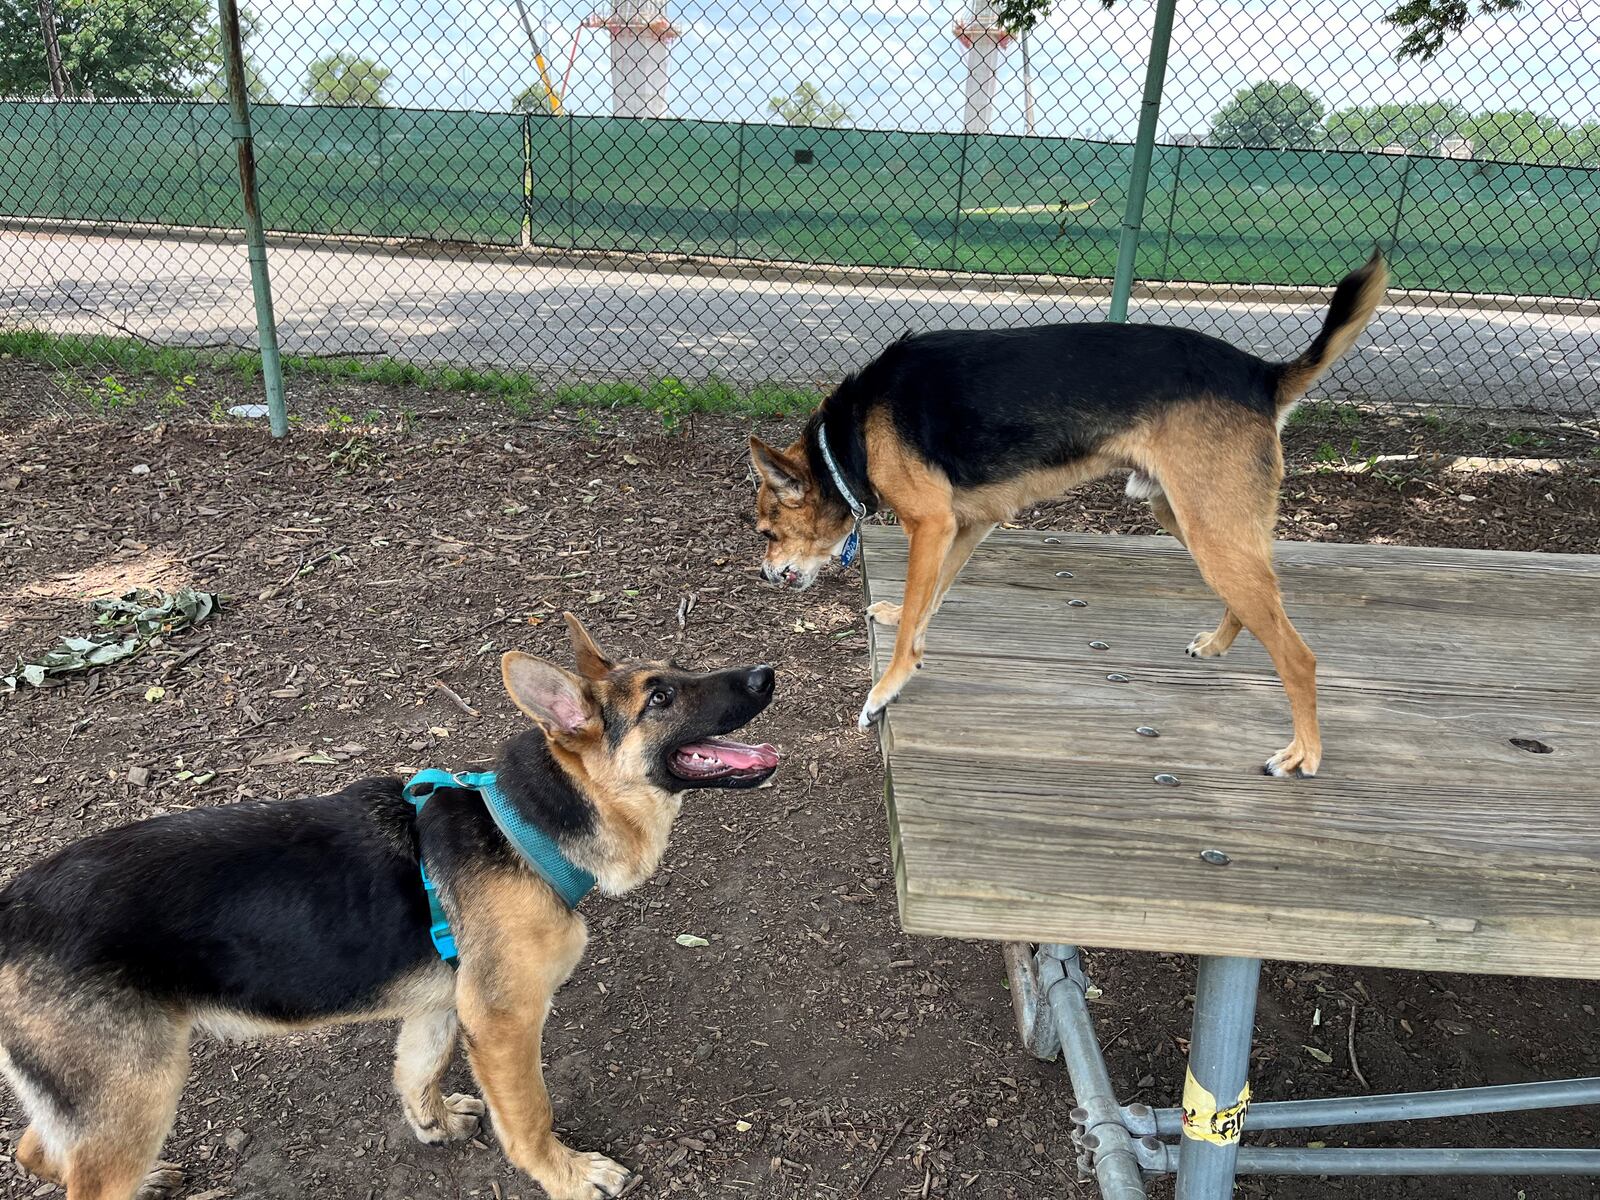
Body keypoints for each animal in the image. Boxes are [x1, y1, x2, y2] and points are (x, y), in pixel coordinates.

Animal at [0, 620, 777, 1200]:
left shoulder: (440, 1006)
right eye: (662, 697)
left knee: (35, 1150)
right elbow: (530, 1115)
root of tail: (9, 909)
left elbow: (416, 1072)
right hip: (138, 1094)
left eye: (677, 672)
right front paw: (566, 1174)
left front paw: (432, 1125)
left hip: (105, 1105)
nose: (767, 674)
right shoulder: (504, 1020)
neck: (523, 826)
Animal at [748, 254, 1388, 780]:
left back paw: (1303, 752)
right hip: (1194, 521)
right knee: (1262, 599)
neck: (849, 437)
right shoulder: (964, 527)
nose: (762, 575)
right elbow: (928, 601)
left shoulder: (931, 526)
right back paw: (1219, 643)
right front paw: (905, 623)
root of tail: (1261, 373)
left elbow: (913, 624)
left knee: (1298, 655)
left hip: (1210, 535)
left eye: (767, 533)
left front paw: (886, 689)